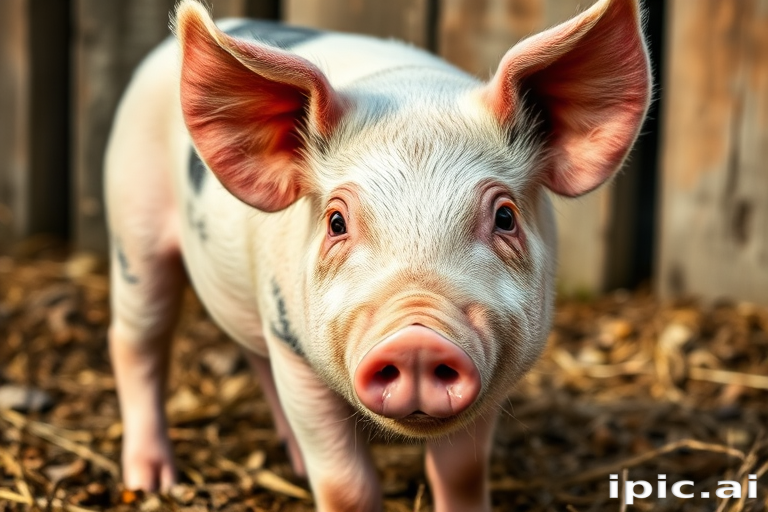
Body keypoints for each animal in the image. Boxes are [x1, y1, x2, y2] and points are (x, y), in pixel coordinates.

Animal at [104, 0, 651, 509]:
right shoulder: (295, 352)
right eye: (336, 222)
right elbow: (346, 484)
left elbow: (462, 472)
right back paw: (151, 481)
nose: (416, 340)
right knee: (136, 341)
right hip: (134, 229)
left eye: (505, 217)